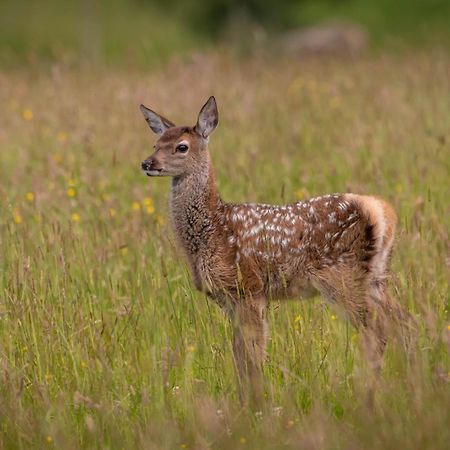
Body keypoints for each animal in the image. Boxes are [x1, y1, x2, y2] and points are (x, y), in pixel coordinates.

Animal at [141, 96, 412, 404]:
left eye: (182, 146)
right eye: (156, 143)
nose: (147, 162)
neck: (211, 229)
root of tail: (382, 211)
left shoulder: (248, 288)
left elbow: (253, 356)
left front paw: (255, 403)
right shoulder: (230, 299)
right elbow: (239, 355)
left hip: (342, 275)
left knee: (378, 329)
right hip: (375, 277)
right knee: (404, 323)